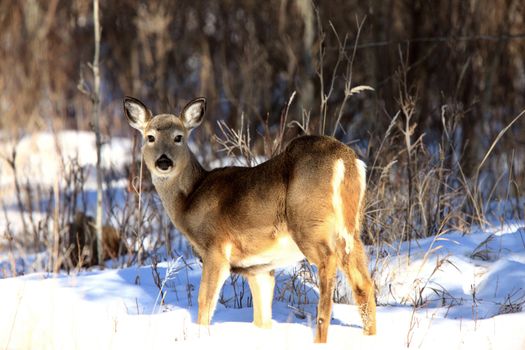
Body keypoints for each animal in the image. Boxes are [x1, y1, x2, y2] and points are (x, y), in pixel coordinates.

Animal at [123, 97, 376, 344]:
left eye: (179, 137)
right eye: (150, 137)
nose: (163, 161)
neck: (191, 197)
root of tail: (346, 161)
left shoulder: (216, 248)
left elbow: (205, 303)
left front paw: (199, 335)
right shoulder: (258, 268)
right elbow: (261, 318)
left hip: (310, 223)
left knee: (328, 265)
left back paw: (320, 337)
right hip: (352, 229)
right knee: (364, 283)